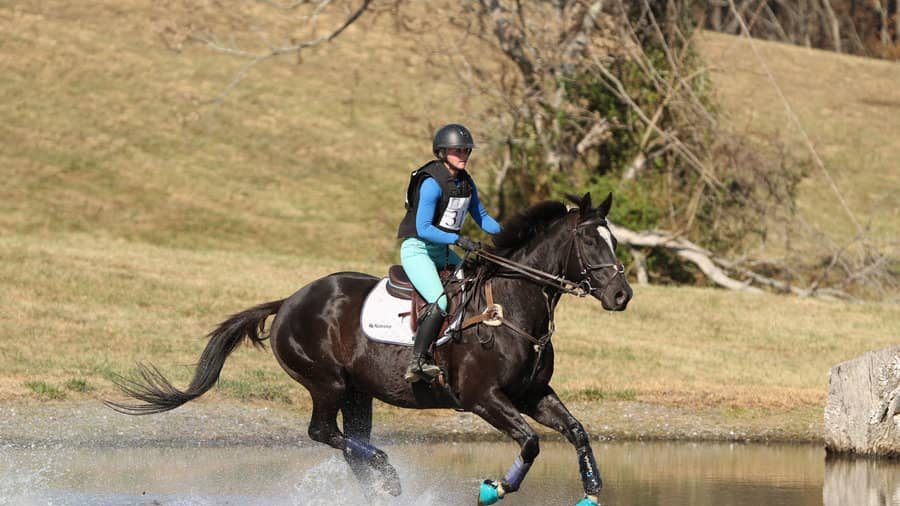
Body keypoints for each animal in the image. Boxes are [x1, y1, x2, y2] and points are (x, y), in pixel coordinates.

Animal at [106, 192, 632, 506]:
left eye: (614, 240)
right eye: (591, 242)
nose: (622, 295)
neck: (511, 305)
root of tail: (289, 301)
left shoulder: (531, 394)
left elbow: (576, 431)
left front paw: (591, 491)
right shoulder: (483, 398)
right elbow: (530, 441)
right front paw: (495, 488)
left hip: (359, 392)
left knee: (347, 442)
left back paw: (380, 483)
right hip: (327, 382)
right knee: (324, 432)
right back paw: (387, 471)